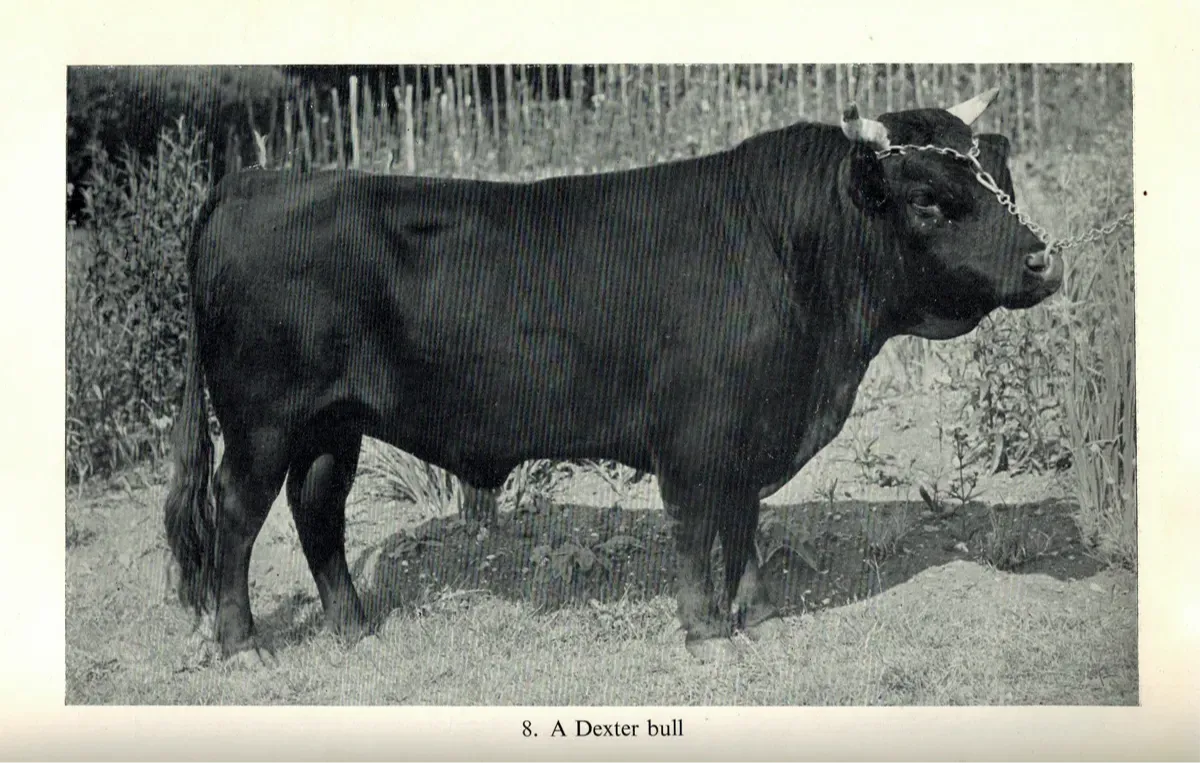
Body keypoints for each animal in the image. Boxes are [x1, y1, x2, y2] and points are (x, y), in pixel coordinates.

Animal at [163, 87, 1060, 667]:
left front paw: (761, 613)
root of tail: (262, 177)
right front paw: (707, 630)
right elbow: (696, 530)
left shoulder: (749, 432)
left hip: (332, 424)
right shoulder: (693, 438)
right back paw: (243, 645)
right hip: (262, 421)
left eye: (999, 174)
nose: (1045, 259)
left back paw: (352, 628)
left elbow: (744, 524)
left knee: (317, 510)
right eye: (929, 199)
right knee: (236, 516)